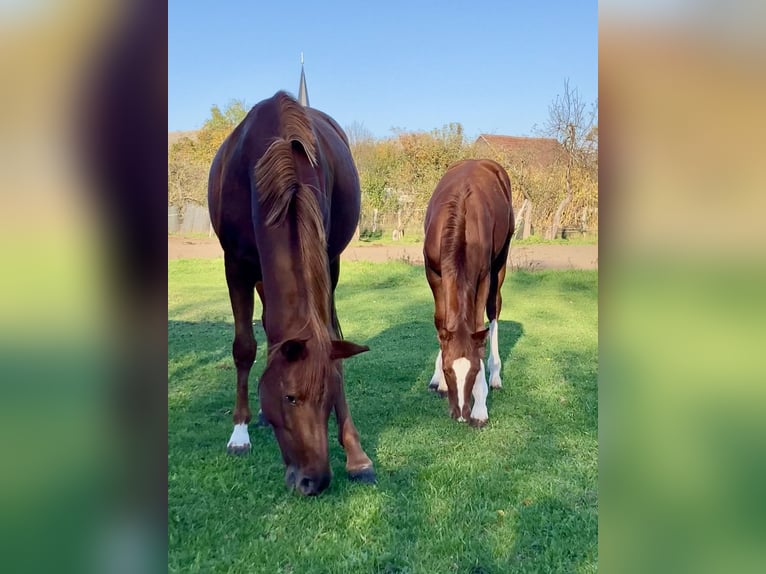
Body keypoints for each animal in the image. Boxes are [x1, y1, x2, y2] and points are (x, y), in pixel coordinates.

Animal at [207, 91, 375, 495]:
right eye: (290, 397)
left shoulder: (328, 260)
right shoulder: (235, 264)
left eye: (328, 398)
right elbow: (244, 347)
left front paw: (356, 454)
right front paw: (239, 433)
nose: (314, 481)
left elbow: (331, 344)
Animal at [423, 159, 515, 426]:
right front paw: (439, 380)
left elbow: (477, 324)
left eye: (474, 370)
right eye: (447, 370)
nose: (461, 413)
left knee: (494, 310)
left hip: (501, 260)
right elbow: (441, 322)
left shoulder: (483, 276)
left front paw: (480, 406)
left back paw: (495, 374)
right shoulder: (433, 273)